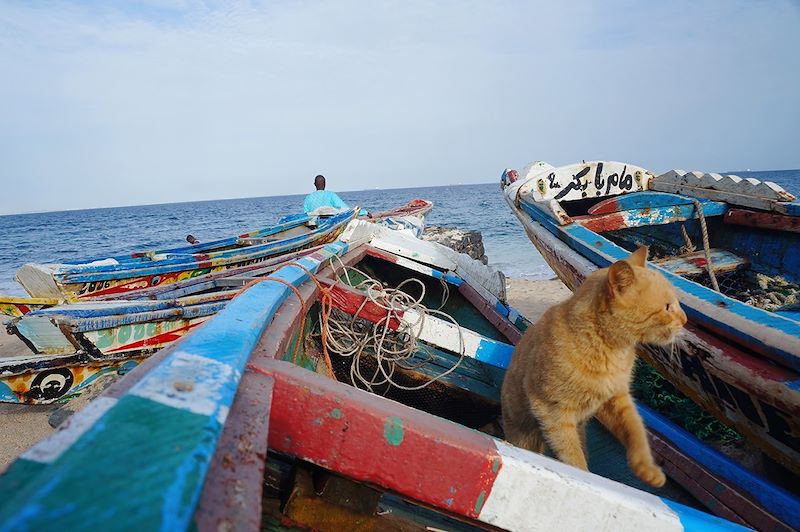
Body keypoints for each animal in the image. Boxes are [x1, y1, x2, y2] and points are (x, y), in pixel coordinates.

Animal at [504, 245, 684, 486]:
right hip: (525, 434)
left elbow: (636, 432)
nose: (685, 321)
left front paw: (647, 469)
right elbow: (573, 458)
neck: (611, 350)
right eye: (667, 307)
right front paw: (584, 478)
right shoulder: (553, 413)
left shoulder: (616, 399)